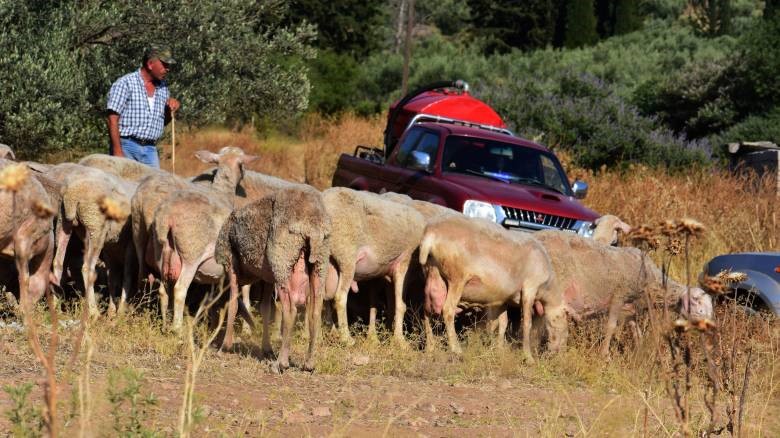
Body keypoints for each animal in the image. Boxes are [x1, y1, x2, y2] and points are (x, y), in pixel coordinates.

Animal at [213, 186, 330, 372]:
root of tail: (312, 223)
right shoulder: (268, 277)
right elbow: (265, 309)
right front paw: (267, 349)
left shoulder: (231, 265)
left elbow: (233, 305)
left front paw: (225, 347)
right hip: (319, 263)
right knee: (316, 311)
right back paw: (309, 364)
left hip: (281, 260)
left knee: (290, 309)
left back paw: (281, 363)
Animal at [418, 214, 564, 362]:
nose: (557, 352)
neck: (547, 288)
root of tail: (431, 234)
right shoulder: (530, 287)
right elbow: (526, 324)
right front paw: (528, 357)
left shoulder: (503, 299)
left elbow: (502, 323)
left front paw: (499, 350)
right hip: (457, 277)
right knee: (448, 310)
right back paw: (456, 349)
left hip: (432, 273)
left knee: (426, 310)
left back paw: (430, 348)